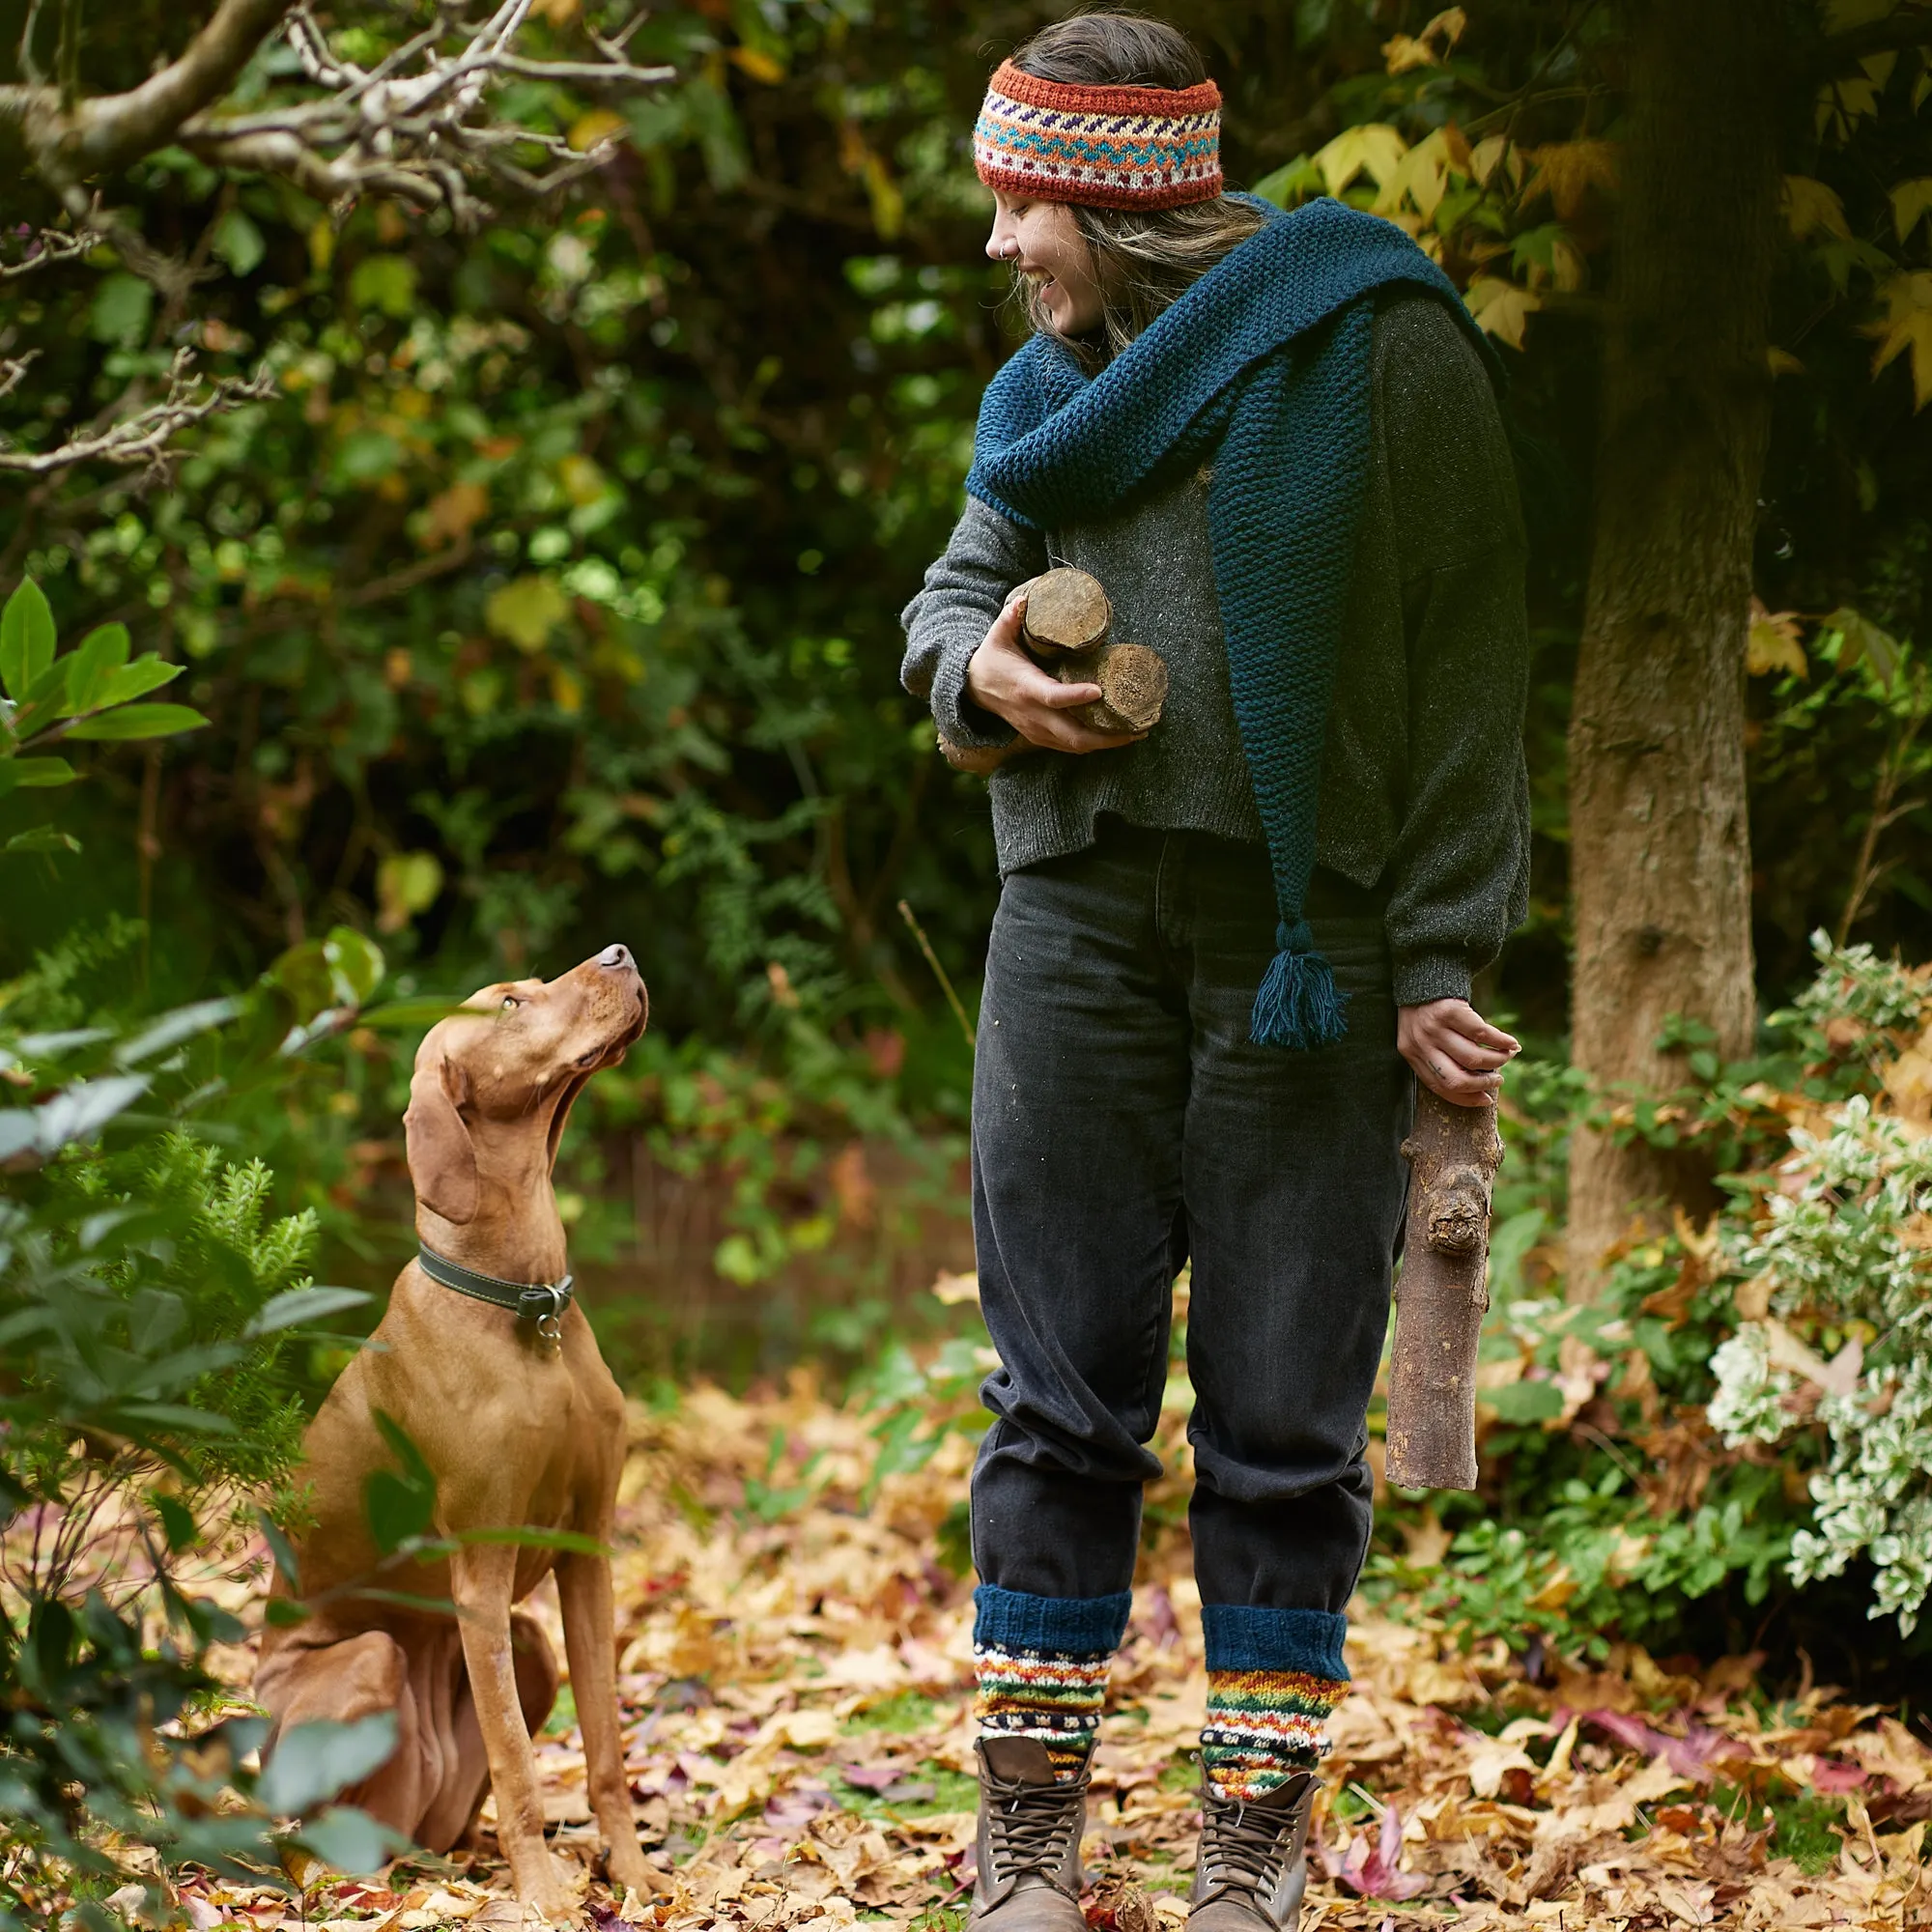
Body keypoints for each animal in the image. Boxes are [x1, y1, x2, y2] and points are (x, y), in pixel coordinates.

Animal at [257, 943, 657, 1909]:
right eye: (510, 1003)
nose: (620, 952)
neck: (525, 1308)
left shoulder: (588, 1552)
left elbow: (605, 1749)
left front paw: (632, 1877)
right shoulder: (480, 1573)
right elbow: (518, 1763)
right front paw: (546, 1896)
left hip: (527, 1647)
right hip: (370, 1660)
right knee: (300, 1832)